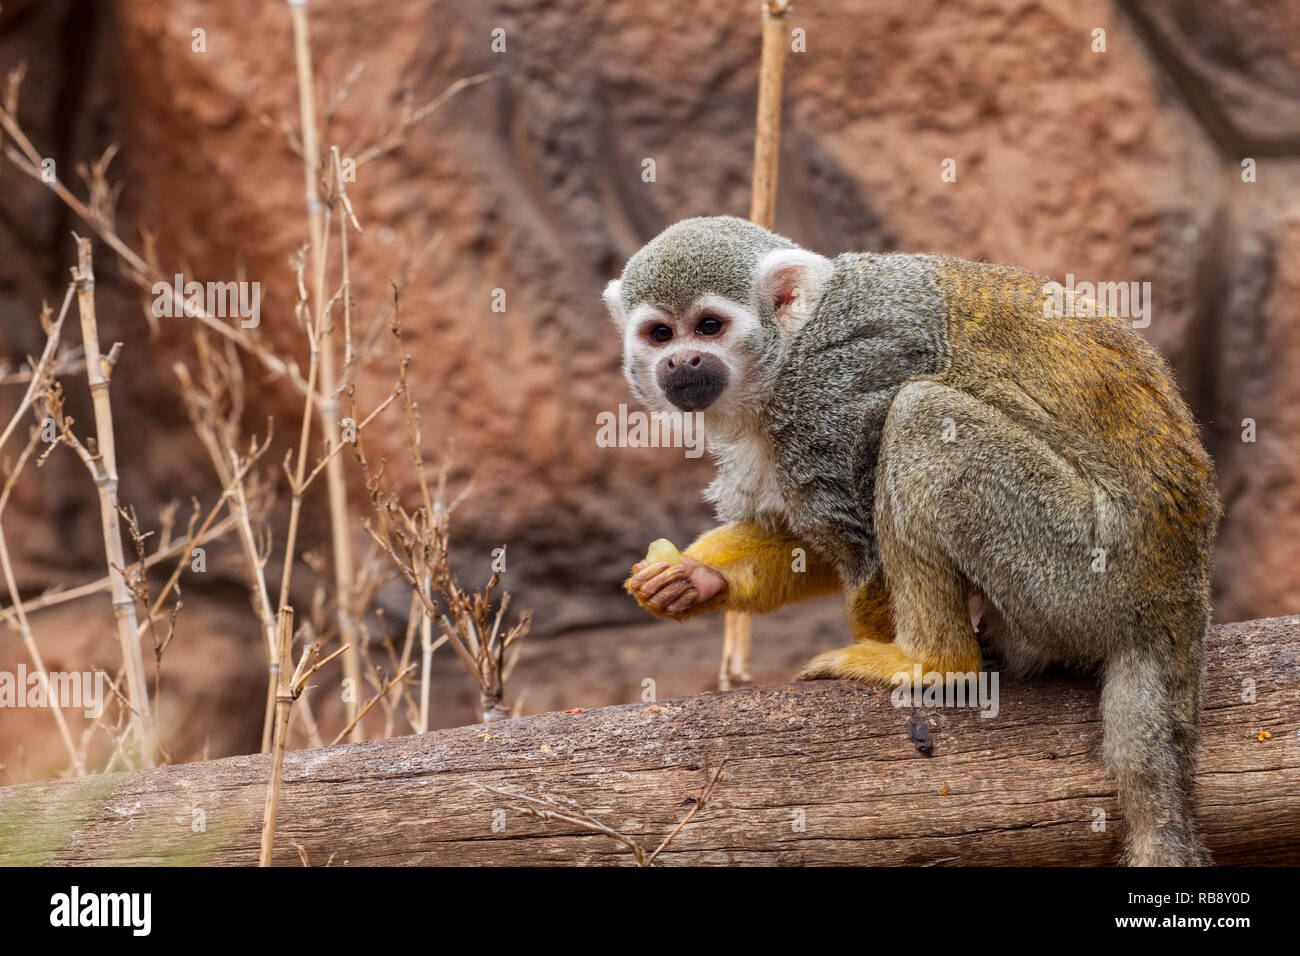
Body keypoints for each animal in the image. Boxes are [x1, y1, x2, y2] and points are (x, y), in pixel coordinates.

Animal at [605, 214, 1216, 868]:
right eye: (660, 334)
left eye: (709, 327)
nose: (682, 361)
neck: (786, 355)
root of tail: (1177, 598)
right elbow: (809, 542)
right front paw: (694, 579)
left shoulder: (832, 393)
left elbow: (865, 543)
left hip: (1088, 566)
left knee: (921, 415)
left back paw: (933, 660)